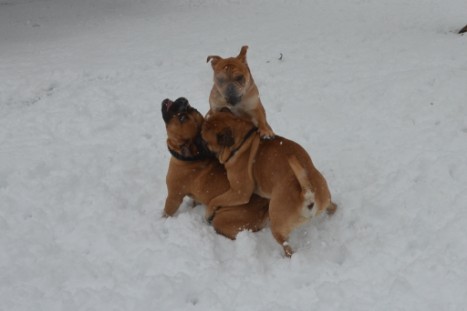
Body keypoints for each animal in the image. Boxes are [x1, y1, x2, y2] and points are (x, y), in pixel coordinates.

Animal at [162, 97, 268, 239]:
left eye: (182, 117)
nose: (184, 101)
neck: (191, 157)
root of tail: (265, 208)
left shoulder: (173, 197)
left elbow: (166, 213)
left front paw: (161, 221)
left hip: (224, 218)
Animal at [201, 111, 336, 258]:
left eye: (205, 141)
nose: (198, 141)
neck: (242, 141)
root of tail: (306, 192)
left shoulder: (239, 193)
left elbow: (214, 200)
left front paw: (208, 214)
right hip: (325, 198)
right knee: (333, 206)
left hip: (277, 223)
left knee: (287, 246)